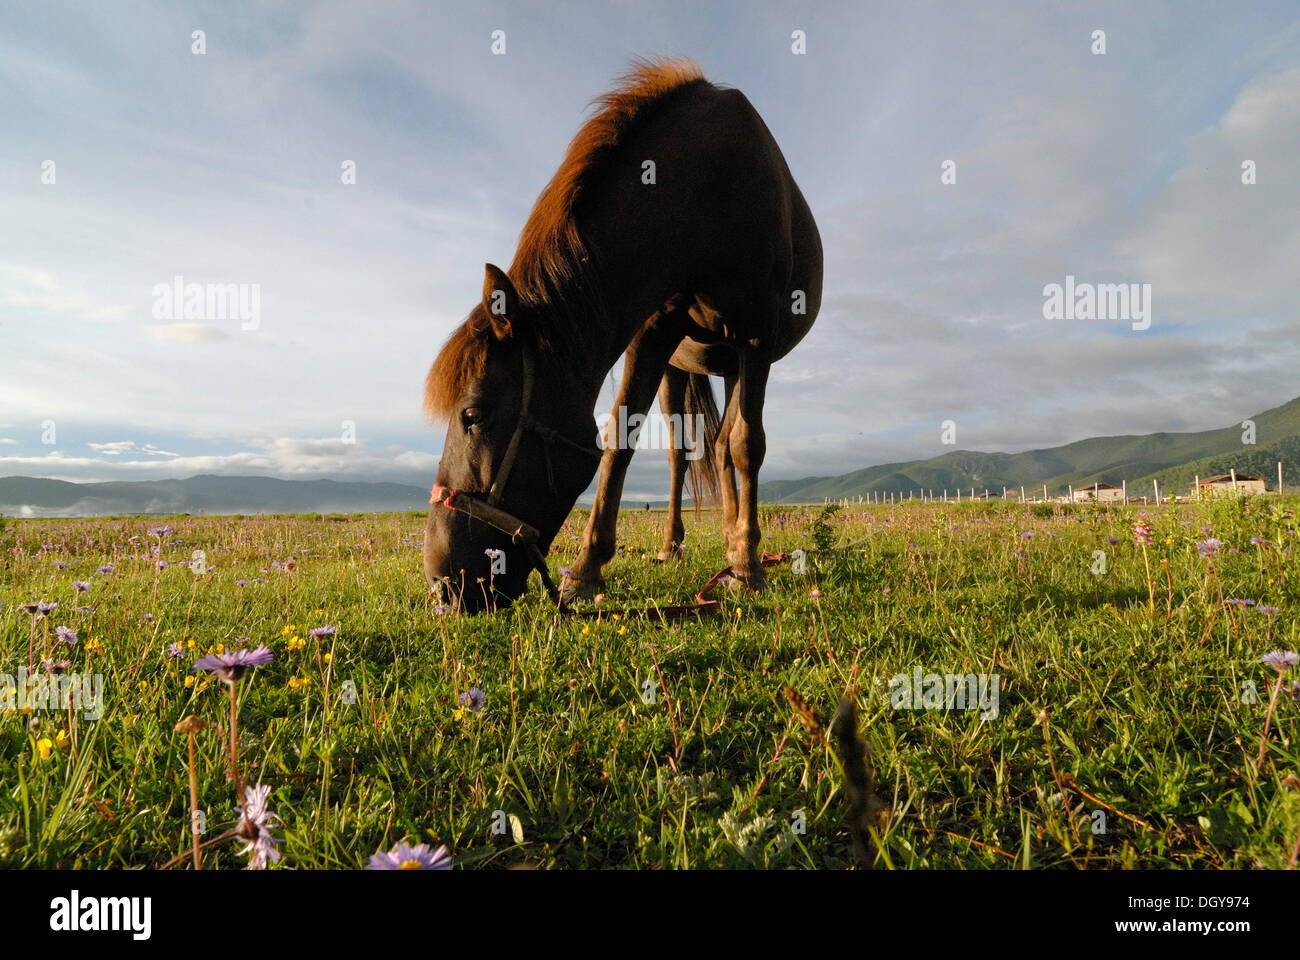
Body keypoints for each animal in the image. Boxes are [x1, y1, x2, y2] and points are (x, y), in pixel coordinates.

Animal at [421, 59, 816, 608]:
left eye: (472, 415)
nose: (442, 585)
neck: (707, 187)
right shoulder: (655, 331)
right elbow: (621, 439)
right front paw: (587, 571)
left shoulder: (757, 334)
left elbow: (746, 445)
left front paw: (746, 568)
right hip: (685, 364)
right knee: (685, 453)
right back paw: (678, 545)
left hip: (738, 356)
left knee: (727, 445)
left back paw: (739, 544)